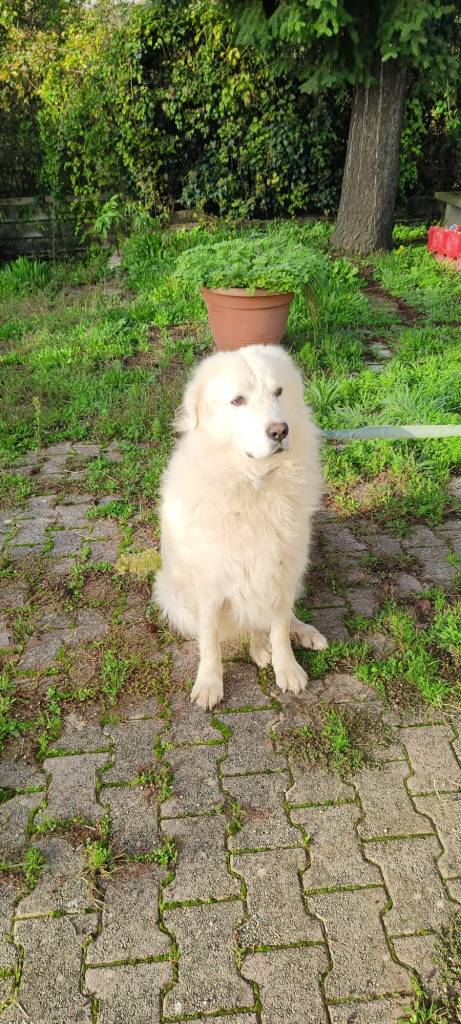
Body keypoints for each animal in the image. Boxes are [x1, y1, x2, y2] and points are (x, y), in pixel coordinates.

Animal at [154, 344, 327, 709]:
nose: (279, 431)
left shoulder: (281, 571)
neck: (253, 485)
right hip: (173, 597)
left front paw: (287, 668)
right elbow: (210, 641)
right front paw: (209, 684)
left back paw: (302, 633)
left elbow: (279, 627)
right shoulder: (211, 585)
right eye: (237, 401)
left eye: (279, 392)